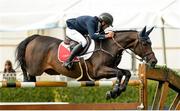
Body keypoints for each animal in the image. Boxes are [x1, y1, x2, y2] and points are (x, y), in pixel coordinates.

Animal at [15, 26, 158, 99]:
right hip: (35, 68)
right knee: (25, 69)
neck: (110, 46)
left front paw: (117, 91)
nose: (153, 61)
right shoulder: (98, 71)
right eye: (145, 43)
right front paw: (113, 92)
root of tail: (35, 37)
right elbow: (119, 73)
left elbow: (126, 73)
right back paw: (25, 80)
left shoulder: (110, 68)